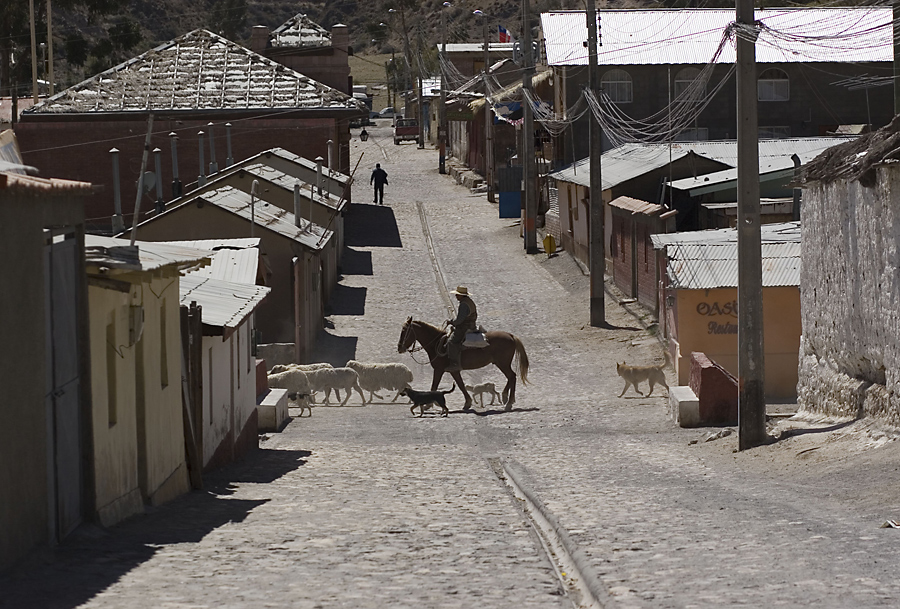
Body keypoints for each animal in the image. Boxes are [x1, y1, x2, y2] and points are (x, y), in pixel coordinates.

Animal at [394, 316, 528, 410]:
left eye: (404, 330)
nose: (399, 348)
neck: (437, 343)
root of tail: (510, 335)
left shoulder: (439, 370)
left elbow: (435, 385)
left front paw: (428, 405)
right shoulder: (454, 371)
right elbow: (461, 385)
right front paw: (467, 403)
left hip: (503, 364)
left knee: (512, 376)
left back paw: (508, 402)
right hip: (502, 364)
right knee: (511, 377)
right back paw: (507, 399)